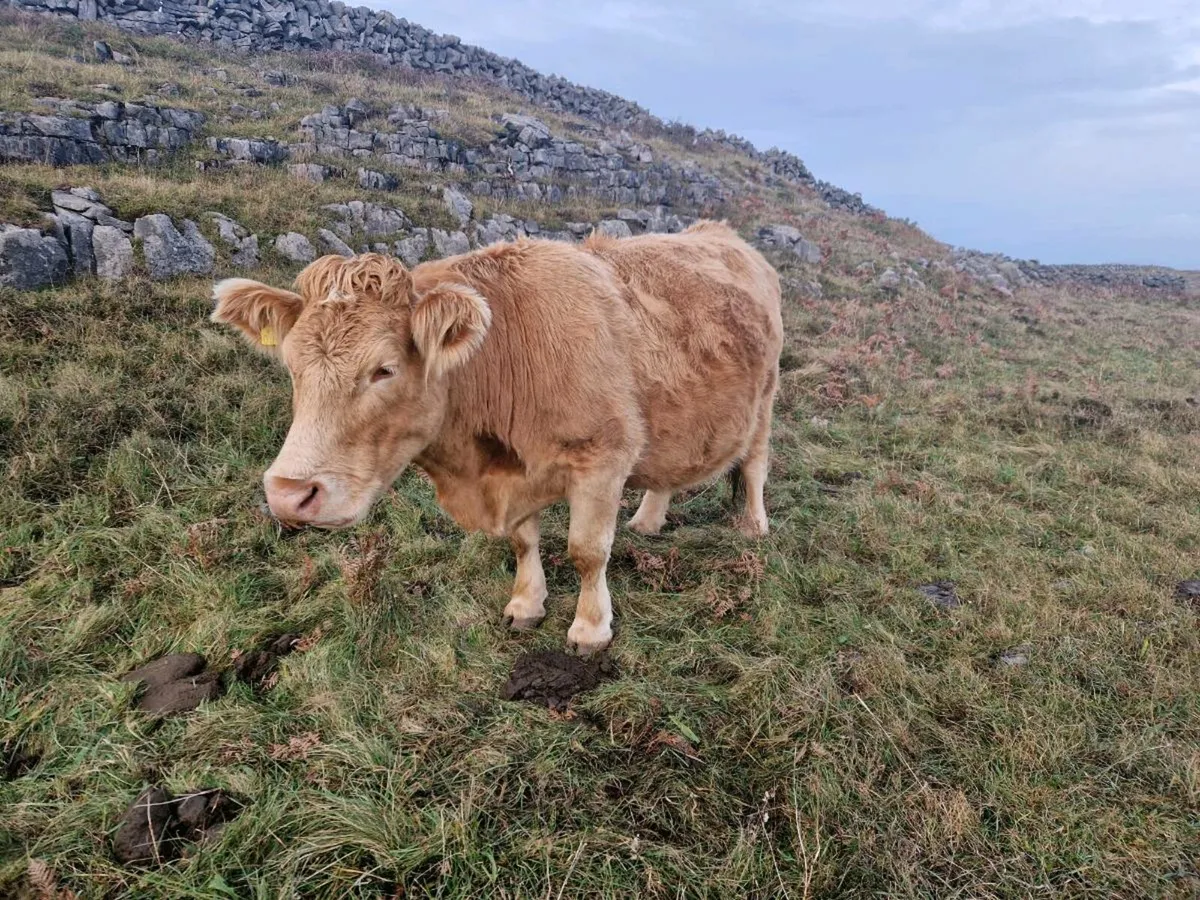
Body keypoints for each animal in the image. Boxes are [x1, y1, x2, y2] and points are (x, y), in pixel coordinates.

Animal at [210, 221, 783, 654]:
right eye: (291, 365)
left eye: (384, 370)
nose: (289, 494)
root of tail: (721, 233)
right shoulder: (515, 474)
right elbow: (523, 540)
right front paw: (526, 605)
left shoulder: (603, 457)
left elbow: (587, 551)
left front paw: (590, 629)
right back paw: (647, 520)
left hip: (766, 398)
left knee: (755, 465)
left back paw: (753, 526)